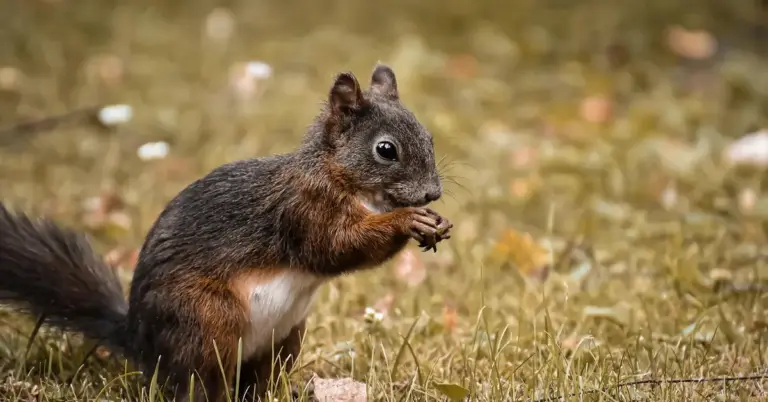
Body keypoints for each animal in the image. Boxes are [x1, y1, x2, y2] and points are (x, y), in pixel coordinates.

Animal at [0, 63, 453, 402]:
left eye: (429, 136)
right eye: (386, 150)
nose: (433, 192)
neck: (338, 177)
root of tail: (142, 343)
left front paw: (434, 221)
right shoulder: (302, 210)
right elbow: (337, 246)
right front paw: (408, 220)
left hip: (285, 338)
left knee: (254, 382)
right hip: (206, 320)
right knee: (197, 383)